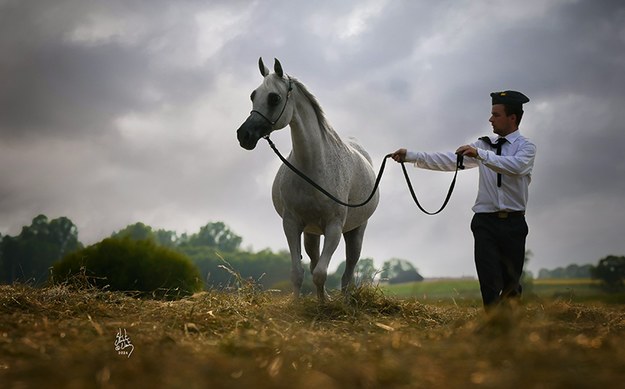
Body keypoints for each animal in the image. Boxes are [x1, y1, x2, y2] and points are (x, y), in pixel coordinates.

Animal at [236, 57, 378, 300]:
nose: (244, 135)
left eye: (274, 98)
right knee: (314, 262)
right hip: (312, 234)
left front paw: (324, 304)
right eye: (253, 95)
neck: (313, 167)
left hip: (356, 231)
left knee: (348, 269)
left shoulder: (334, 227)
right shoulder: (292, 224)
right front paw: (300, 303)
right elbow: (299, 273)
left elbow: (321, 273)